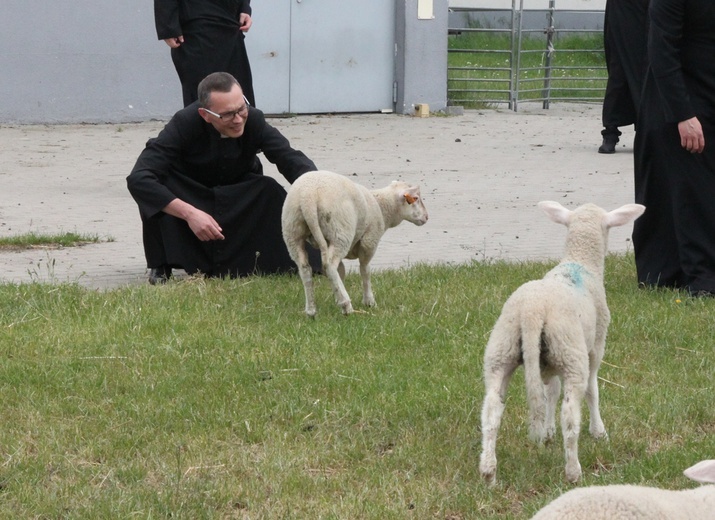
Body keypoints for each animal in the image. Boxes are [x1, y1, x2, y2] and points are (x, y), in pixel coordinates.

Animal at [282, 171, 428, 316]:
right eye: (416, 198)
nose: (426, 217)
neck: (382, 207)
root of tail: (307, 197)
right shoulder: (369, 241)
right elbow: (365, 270)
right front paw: (369, 301)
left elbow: (341, 271)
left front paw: (337, 296)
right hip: (340, 231)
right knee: (329, 265)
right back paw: (346, 306)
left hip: (292, 232)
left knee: (305, 268)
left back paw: (311, 310)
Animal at [478, 201, 648, 486]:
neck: (579, 262)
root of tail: (532, 311)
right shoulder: (595, 346)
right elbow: (592, 390)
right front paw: (599, 431)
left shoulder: (546, 365)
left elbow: (550, 393)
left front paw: (547, 433)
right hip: (570, 352)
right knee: (570, 415)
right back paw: (573, 472)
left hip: (502, 349)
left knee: (491, 411)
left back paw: (489, 473)